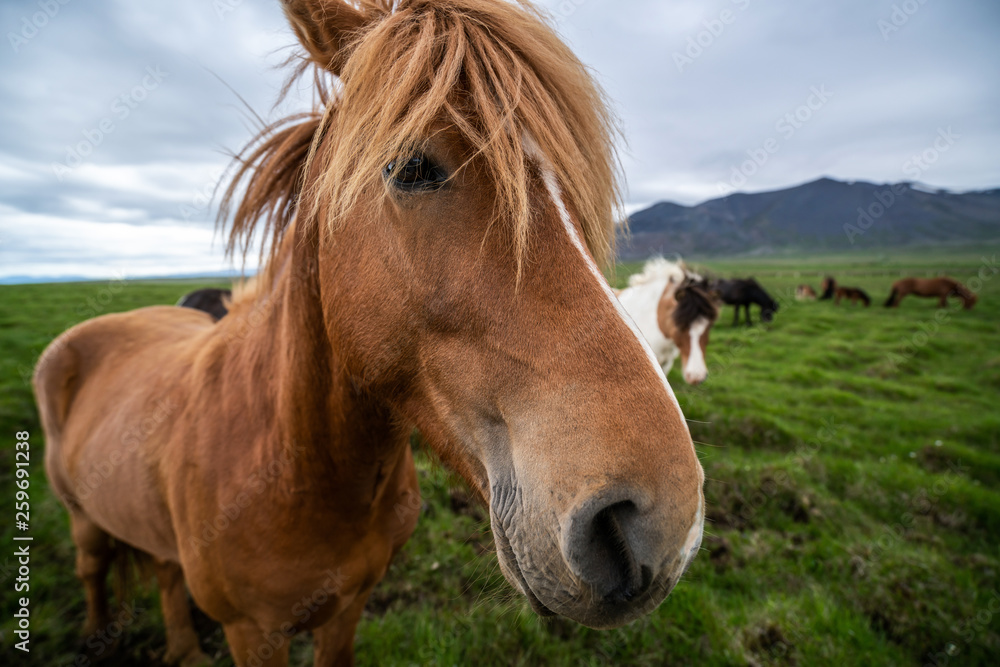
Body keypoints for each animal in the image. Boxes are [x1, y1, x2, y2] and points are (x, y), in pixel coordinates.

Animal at [31, 1, 704, 667]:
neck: (300, 464)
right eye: (410, 167)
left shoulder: (349, 605)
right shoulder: (252, 632)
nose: (657, 522)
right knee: (92, 569)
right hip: (82, 517)